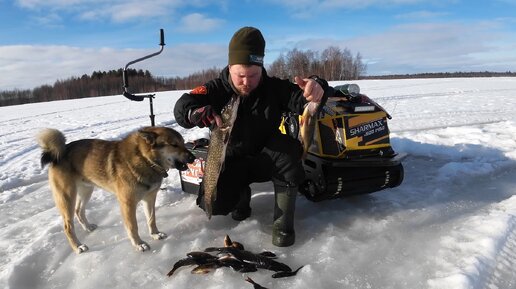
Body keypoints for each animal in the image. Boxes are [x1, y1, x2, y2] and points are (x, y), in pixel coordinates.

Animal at [36, 126, 196, 252]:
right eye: (174, 145)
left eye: (183, 143)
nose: (193, 157)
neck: (145, 159)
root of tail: (60, 152)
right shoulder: (127, 203)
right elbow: (133, 226)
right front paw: (139, 244)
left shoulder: (150, 198)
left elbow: (151, 219)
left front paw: (155, 234)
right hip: (67, 196)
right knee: (67, 226)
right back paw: (78, 247)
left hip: (86, 190)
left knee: (78, 210)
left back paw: (87, 227)